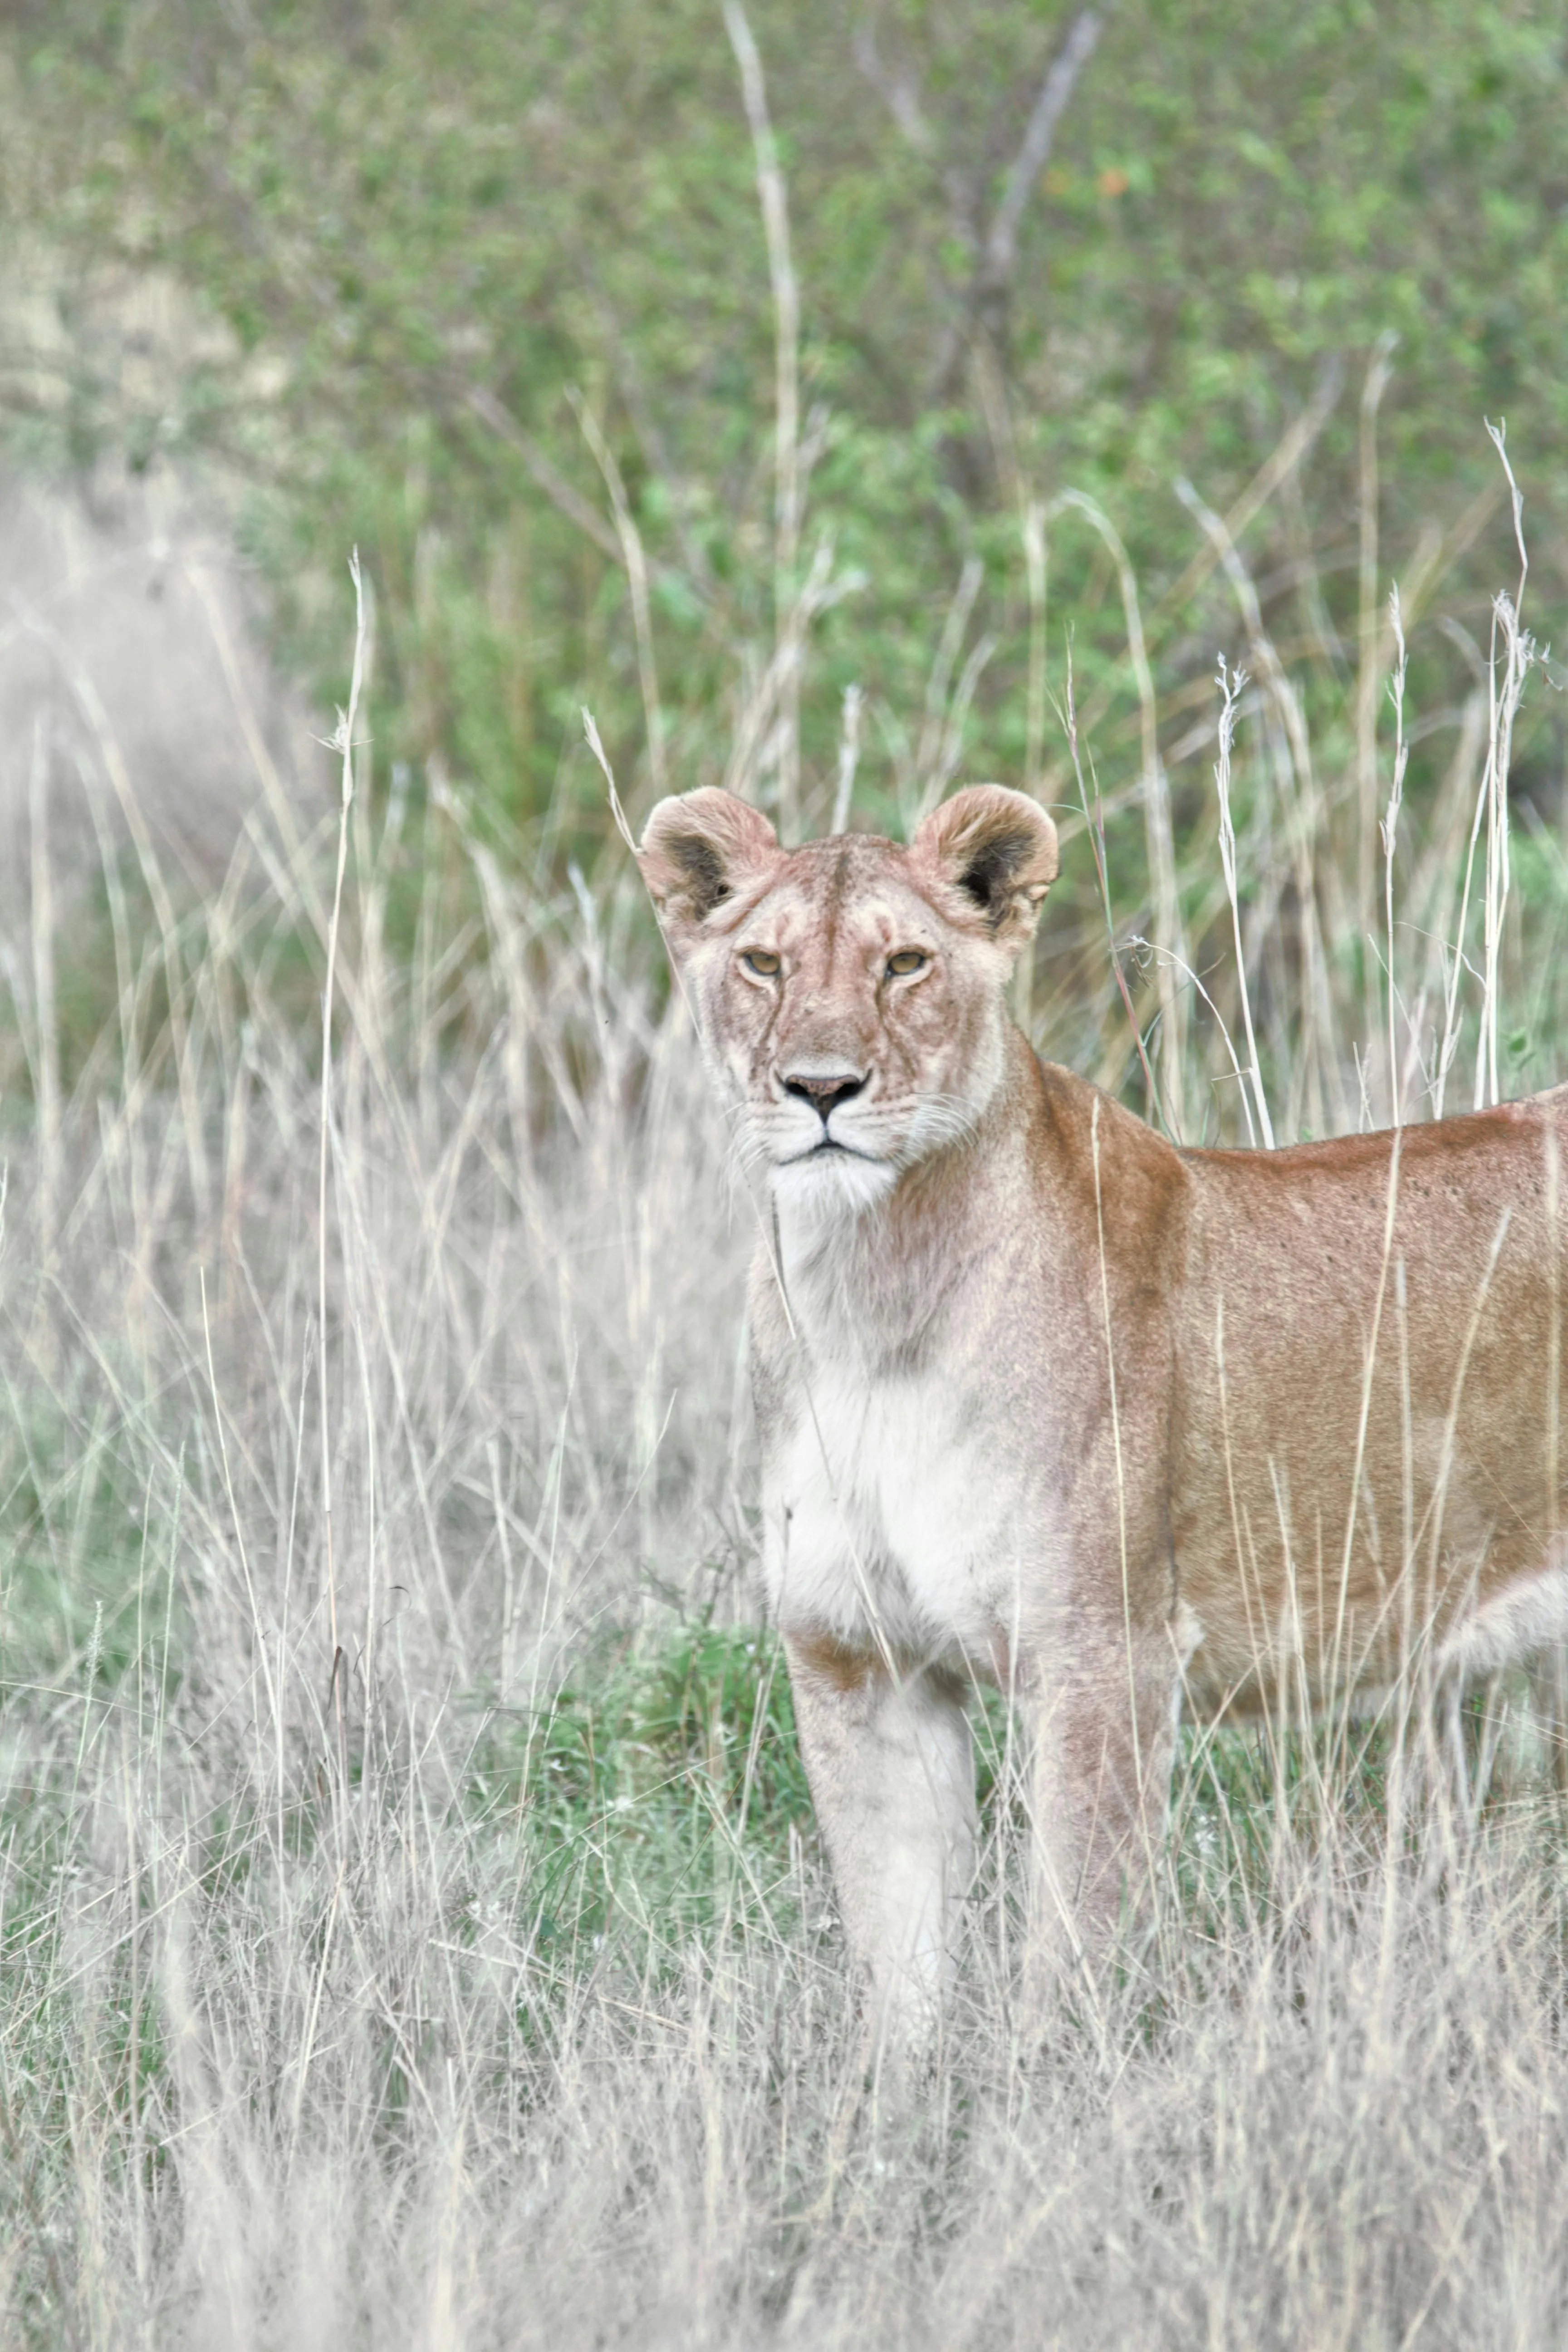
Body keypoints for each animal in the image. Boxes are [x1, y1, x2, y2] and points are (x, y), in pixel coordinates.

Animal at [637, 779, 1568, 2038]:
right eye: (764, 963)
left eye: (906, 964)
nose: (821, 1089)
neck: (870, 1298)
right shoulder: (857, 1660)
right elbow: (898, 1966)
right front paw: (896, 2095)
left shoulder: (1102, 1657)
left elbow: (1069, 1953)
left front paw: (1052, 2090)